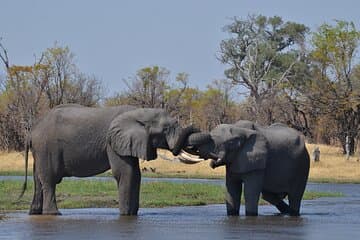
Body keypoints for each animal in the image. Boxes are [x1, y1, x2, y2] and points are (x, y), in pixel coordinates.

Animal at [19, 104, 197, 217]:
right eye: (166, 129)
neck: (139, 112)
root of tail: (32, 131)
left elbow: (136, 174)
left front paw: (133, 214)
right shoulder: (112, 142)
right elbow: (125, 173)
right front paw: (126, 215)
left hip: (40, 151)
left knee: (38, 179)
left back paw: (34, 213)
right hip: (47, 147)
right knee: (49, 180)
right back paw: (54, 214)